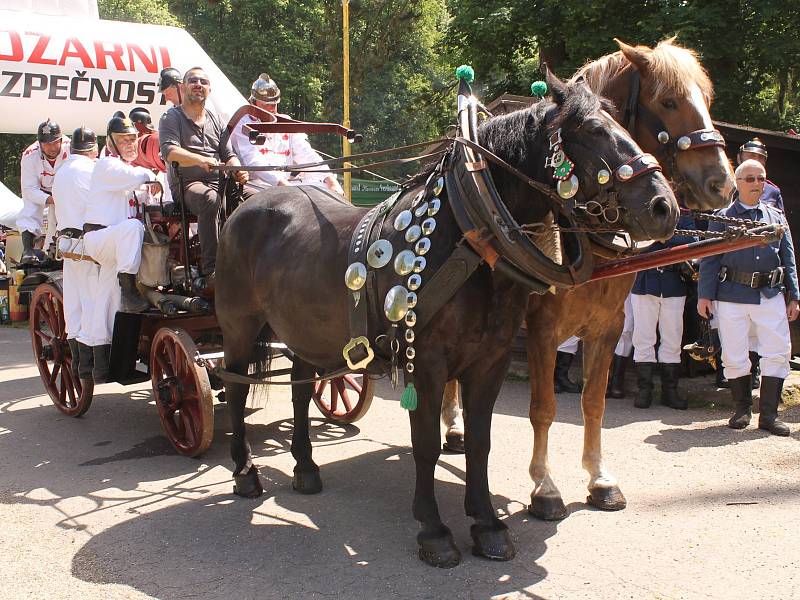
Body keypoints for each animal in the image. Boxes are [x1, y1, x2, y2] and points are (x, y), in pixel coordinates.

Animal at [216, 75, 680, 568]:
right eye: (592, 129)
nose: (664, 207)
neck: (471, 238)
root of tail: (247, 204)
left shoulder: (492, 359)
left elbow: (480, 441)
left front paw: (487, 524)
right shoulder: (426, 362)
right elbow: (425, 443)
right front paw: (435, 530)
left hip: (304, 332)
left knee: (302, 389)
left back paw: (305, 468)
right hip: (239, 327)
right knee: (236, 388)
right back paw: (245, 473)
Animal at [440, 39, 736, 520]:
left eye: (707, 100)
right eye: (669, 102)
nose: (722, 185)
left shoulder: (607, 326)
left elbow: (593, 403)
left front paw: (599, 479)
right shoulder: (542, 329)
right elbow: (543, 407)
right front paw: (544, 486)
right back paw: (452, 426)